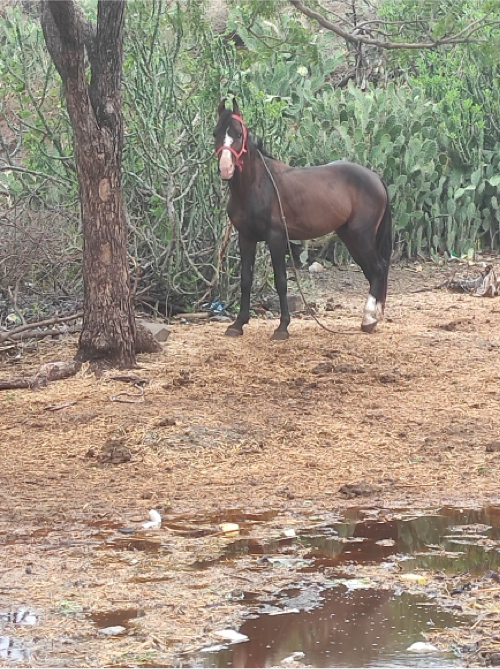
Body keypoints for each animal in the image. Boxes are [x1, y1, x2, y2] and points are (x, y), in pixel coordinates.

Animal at [213, 98, 392, 340]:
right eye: (216, 133)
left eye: (239, 133)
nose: (226, 168)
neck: (258, 186)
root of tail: (375, 177)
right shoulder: (246, 238)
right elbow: (246, 280)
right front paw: (238, 324)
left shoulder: (276, 239)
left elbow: (281, 281)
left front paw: (282, 327)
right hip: (350, 237)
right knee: (373, 271)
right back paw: (372, 318)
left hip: (360, 236)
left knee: (379, 268)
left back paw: (369, 319)